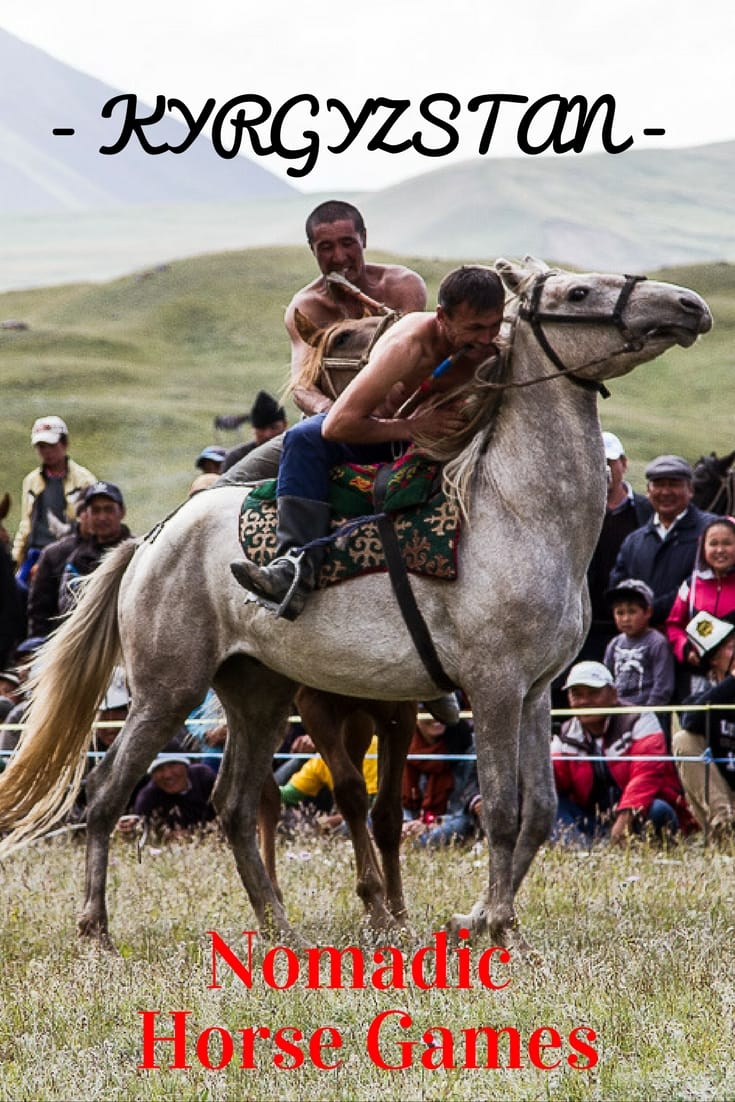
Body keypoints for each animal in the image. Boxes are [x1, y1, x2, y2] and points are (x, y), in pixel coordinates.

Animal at [0, 255, 714, 947]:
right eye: (577, 294)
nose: (691, 306)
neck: (514, 512)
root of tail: (150, 539)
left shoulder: (536, 690)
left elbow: (537, 812)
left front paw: (488, 919)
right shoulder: (493, 687)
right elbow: (504, 811)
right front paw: (485, 920)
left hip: (257, 694)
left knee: (233, 804)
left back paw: (277, 926)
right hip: (166, 690)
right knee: (106, 791)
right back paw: (96, 929)